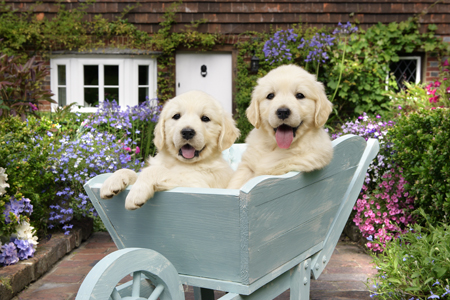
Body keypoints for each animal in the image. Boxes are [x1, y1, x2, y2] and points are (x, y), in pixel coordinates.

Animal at [99, 90, 239, 210]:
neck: (178, 162)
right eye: (176, 116)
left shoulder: (198, 185)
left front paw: (137, 193)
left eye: (205, 118)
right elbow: (134, 172)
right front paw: (113, 180)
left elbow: (156, 171)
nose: (187, 132)